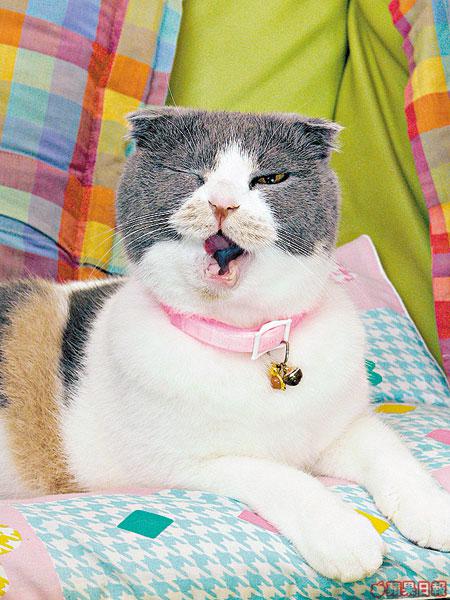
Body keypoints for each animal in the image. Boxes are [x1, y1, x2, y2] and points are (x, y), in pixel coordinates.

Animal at [0, 107, 449, 583]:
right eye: (189, 174)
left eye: (271, 178)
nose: (222, 203)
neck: (250, 341)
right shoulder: (188, 465)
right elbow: (284, 477)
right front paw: (342, 533)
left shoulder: (342, 428)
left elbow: (391, 452)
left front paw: (433, 509)